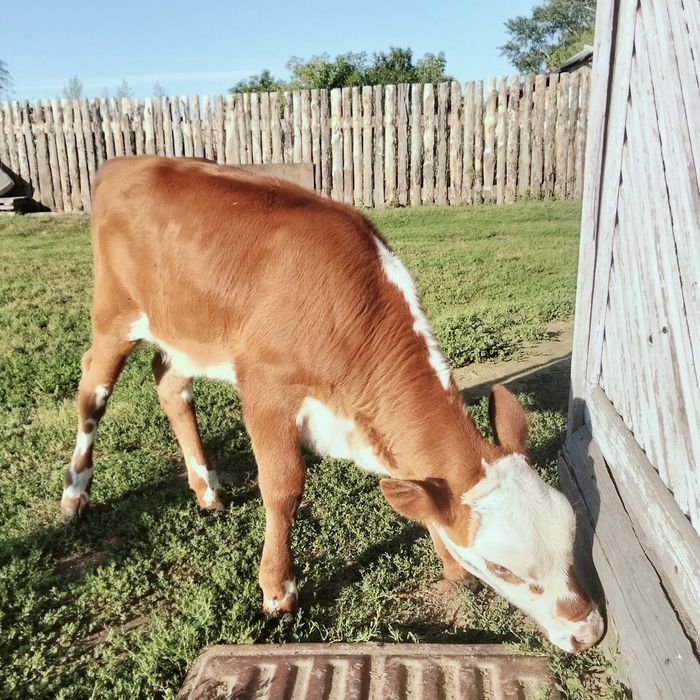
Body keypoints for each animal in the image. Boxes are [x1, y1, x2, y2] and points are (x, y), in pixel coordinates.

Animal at [62, 155, 604, 653]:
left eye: (570, 540)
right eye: (502, 567)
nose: (589, 632)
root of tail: (127, 161)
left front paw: (451, 565)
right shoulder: (265, 387)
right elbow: (283, 487)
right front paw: (277, 590)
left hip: (183, 327)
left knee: (171, 384)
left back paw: (206, 489)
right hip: (114, 313)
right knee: (92, 389)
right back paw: (75, 495)